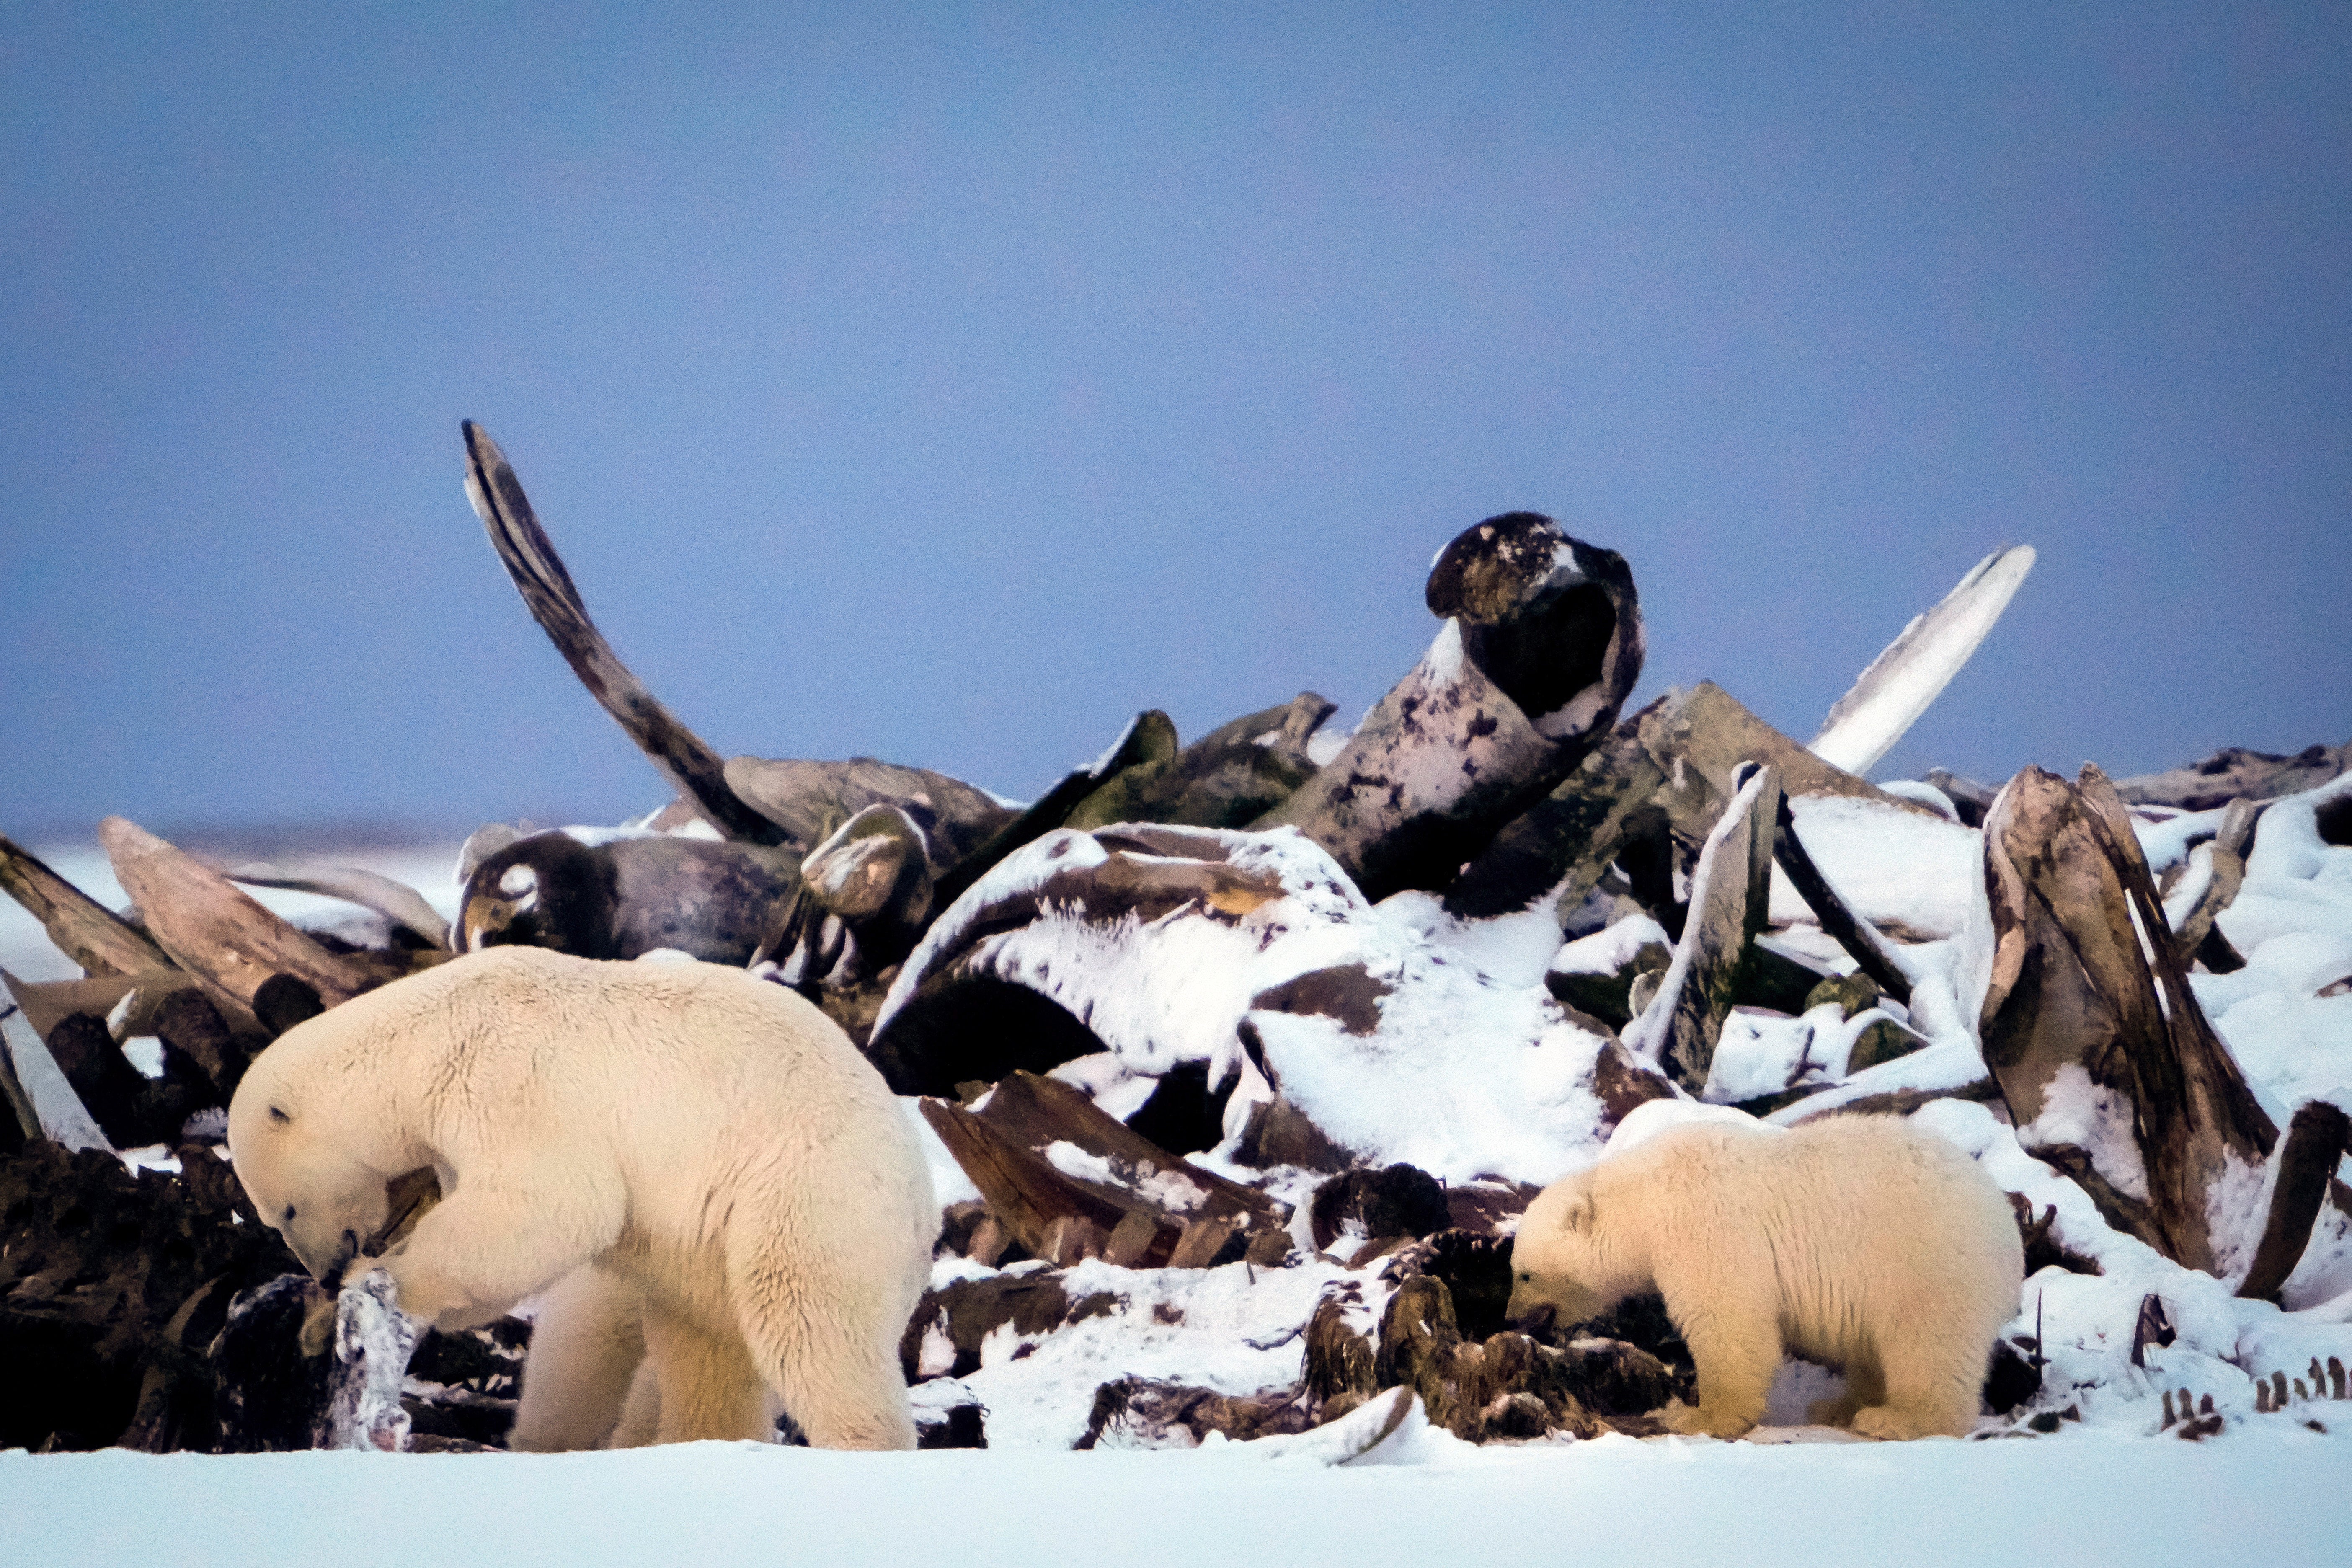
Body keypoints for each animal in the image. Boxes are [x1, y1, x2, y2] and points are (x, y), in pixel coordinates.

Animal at [225, 945, 931, 1448]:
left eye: (284, 1209)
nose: (326, 1269)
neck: (426, 1033)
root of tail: (922, 1204)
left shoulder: (508, 1077)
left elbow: (552, 1204)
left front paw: (384, 1276)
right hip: (709, 1246)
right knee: (705, 1342)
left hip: (807, 1190)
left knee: (807, 1317)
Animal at [1505, 1109, 2022, 1439]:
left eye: (1524, 1274)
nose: (1510, 1316)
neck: (1643, 1197)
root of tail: (2007, 1227)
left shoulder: (1704, 1226)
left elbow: (1728, 1321)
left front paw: (1694, 1415)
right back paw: (1838, 1405)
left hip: (1925, 1261)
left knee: (1926, 1342)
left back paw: (1894, 1419)